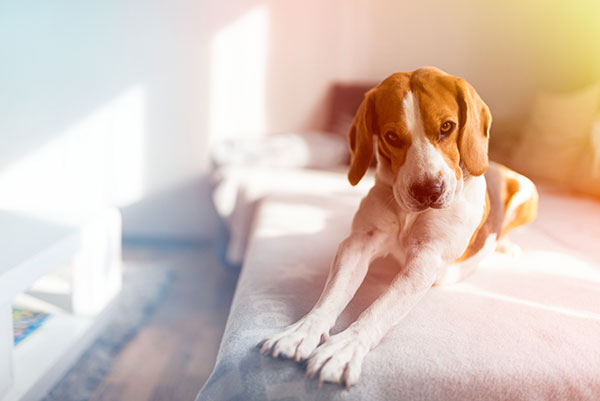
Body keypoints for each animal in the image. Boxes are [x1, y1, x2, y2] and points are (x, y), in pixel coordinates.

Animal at [255, 68, 536, 388]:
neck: (408, 213)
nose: (428, 190)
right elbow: (332, 295)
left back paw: (505, 244)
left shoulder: (426, 259)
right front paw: (301, 332)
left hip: (528, 191)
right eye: (391, 136)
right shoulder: (358, 243)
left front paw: (345, 347)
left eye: (447, 127)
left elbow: (380, 308)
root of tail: (498, 165)